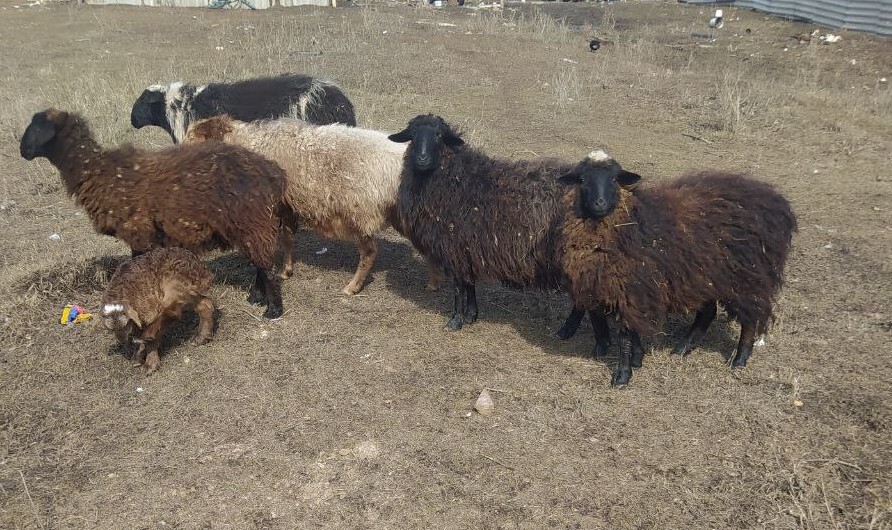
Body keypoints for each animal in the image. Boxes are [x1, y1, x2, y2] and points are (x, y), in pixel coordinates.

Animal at [20, 108, 287, 319]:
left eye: (37, 127)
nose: (23, 150)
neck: (100, 171)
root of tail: (271, 170)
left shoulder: (139, 233)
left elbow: (137, 269)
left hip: (252, 220)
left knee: (266, 266)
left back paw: (273, 309)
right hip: (247, 224)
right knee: (259, 263)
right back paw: (256, 297)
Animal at [185, 114, 445, 295]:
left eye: (193, 141)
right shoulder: (287, 205)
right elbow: (288, 238)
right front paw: (286, 270)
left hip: (360, 210)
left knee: (370, 252)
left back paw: (353, 287)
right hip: (401, 214)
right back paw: (434, 282)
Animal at [387, 114, 576, 330]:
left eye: (439, 135)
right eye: (412, 135)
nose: (422, 159)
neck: (454, 179)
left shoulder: (455, 247)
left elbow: (459, 287)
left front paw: (455, 320)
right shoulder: (467, 248)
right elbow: (469, 283)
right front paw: (471, 315)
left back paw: (569, 329)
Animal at [556, 150, 797, 387]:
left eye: (614, 179)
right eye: (582, 179)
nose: (599, 203)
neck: (630, 223)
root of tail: (774, 200)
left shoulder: (631, 290)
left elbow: (625, 335)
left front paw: (623, 375)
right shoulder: (633, 291)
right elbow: (633, 332)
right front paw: (637, 358)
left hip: (747, 278)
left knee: (750, 317)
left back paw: (739, 359)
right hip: (705, 275)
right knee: (708, 312)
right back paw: (682, 349)